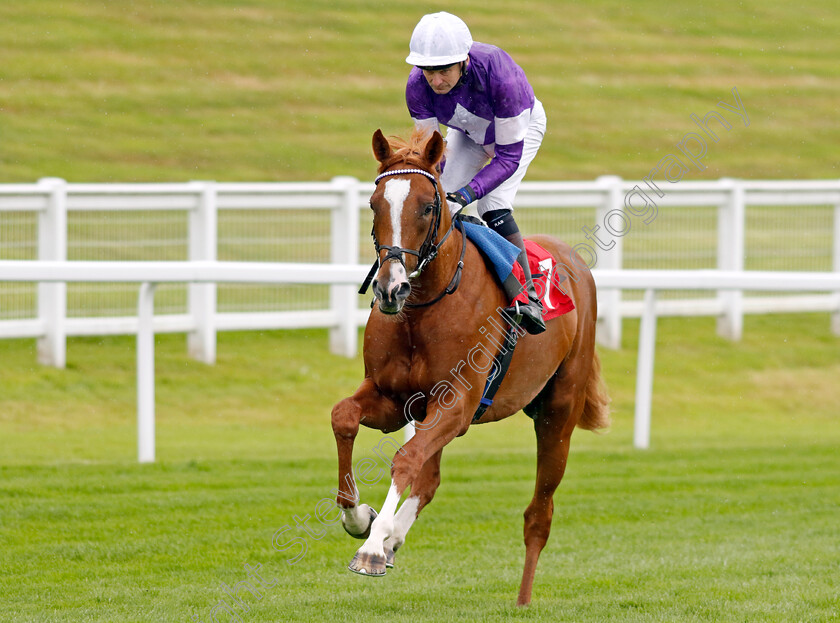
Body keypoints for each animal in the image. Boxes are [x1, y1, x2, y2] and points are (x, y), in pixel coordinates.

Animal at [330, 128, 612, 608]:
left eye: (428, 206)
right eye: (373, 204)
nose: (390, 288)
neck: (424, 306)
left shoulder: (458, 404)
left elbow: (406, 459)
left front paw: (371, 548)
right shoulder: (395, 400)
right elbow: (345, 417)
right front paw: (361, 520)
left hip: (558, 412)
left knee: (539, 513)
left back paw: (522, 599)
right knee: (431, 478)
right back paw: (393, 537)